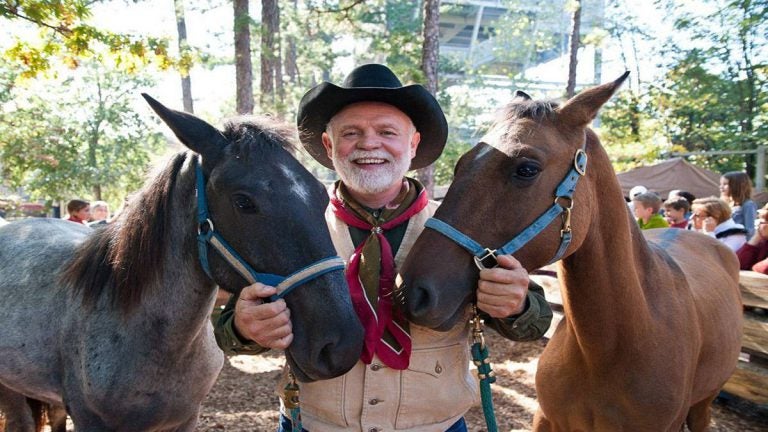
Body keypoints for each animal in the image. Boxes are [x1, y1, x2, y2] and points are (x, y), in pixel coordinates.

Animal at [402, 72, 744, 430]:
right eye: (461, 164)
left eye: (526, 169)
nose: (413, 290)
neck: (606, 351)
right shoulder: (545, 418)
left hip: (704, 403)